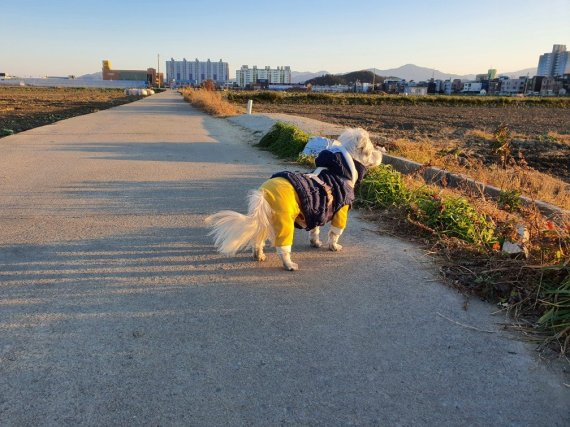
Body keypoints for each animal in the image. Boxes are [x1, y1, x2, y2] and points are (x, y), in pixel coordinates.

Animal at [204, 127, 382, 272]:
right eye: (372, 149)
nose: (381, 152)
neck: (339, 170)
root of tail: (264, 193)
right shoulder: (340, 212)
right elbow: (334, 233)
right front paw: (334, 246)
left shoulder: (317, 211)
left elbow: (314, 231)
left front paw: (315, 243)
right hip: (284, 222)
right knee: (283, 248)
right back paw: (289, 264)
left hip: (266, 220)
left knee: (258, 240)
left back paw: (259, 255)